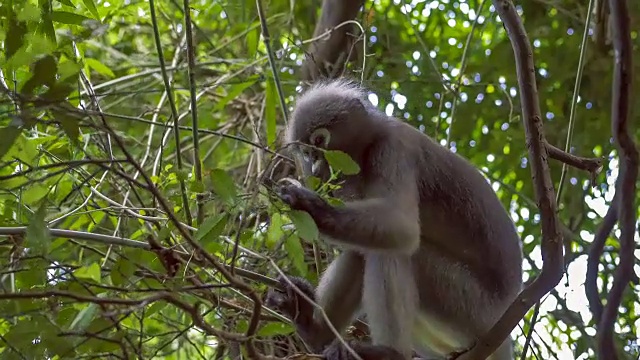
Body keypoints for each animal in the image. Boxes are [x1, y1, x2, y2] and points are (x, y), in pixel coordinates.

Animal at [268, 79, 524, 360]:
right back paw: (313, 330)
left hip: (472, 311)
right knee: (363, 251)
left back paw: (389, 351)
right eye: (307, 153)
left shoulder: (394, 148)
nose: (315, 168)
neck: (370, 144)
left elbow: (403, 227)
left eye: (319, 141)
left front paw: (309, 206)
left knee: (397, 251)